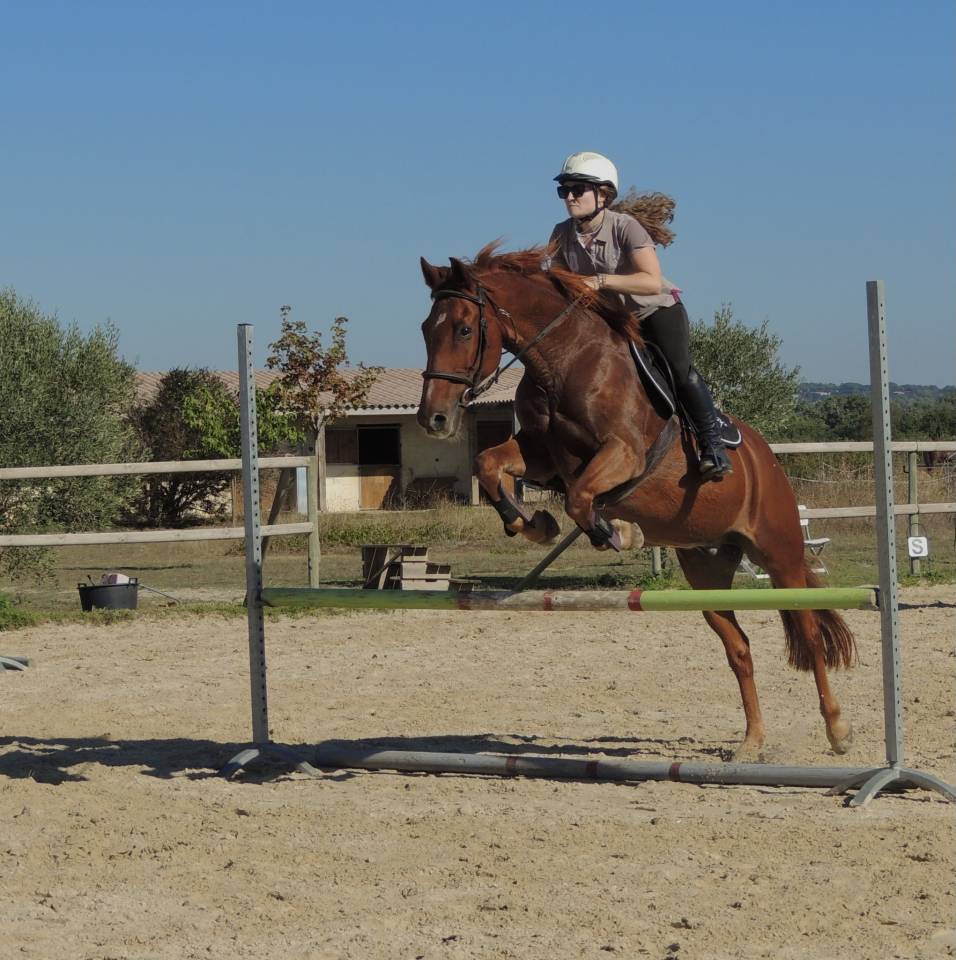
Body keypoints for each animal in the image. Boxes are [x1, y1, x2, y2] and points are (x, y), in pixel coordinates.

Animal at [416, 243, 857, 760]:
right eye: (426, 328)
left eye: (464, 328)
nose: (433, 418)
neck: (562, 360)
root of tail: (768, 461)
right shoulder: (542, 455)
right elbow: (489, 464)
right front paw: (535, 525)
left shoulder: (622, 452)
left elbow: (581, 499)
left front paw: (619, 533)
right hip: (706, 570)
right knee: (739, 647)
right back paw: (752, 741)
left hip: (780, 552)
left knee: (808, 634)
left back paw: (837, 730)